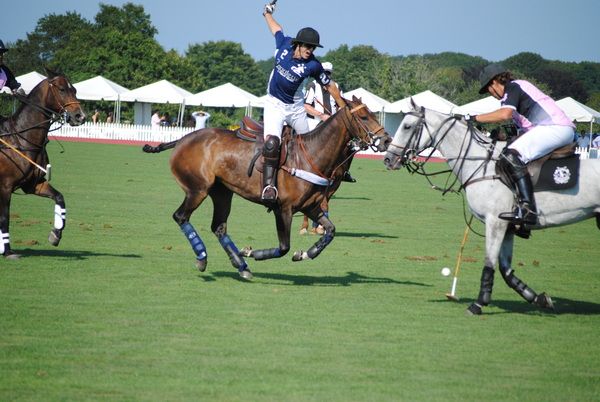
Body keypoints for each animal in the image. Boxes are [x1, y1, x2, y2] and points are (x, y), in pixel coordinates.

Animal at [0, 67, 86, 260]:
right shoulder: (5, 187)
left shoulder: (33, 184)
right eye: (62, 89)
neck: (22, 138)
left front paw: (55, 235)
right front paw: (8, 251)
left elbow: (60, 198)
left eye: (75, 89)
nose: (80, 116)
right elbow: (5, 218)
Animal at [144, 98, 390, 280]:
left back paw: (241, 265)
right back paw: (203, 257)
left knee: (219, 227)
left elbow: (330, 230)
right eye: (364, 116)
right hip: (197, 189)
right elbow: (284, 247)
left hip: (222, 192)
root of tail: (181, 140)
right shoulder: (284, 208)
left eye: (372, 113)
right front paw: (252, 252)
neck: (312, 154)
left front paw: (303, 254)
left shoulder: (310, 207)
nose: (387, 141)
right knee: (181, 216)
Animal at [384, 100, 600, 314]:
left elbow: (489, 263)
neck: (480, 165)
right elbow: (506, 271)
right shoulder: (509, 226)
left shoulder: (495, 221)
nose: (388, 159)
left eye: (407, 126)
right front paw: (539, 298)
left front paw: (478, 304)